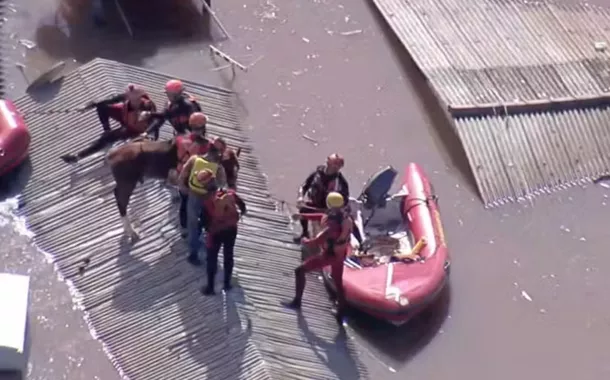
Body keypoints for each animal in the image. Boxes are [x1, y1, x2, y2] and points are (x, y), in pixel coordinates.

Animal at [108, 135, 241, 239]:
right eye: (228, 165)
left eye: (238, 167)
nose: (232, 186)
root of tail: (112, 155)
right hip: (127, 183)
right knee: (120, 200)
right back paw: (131, 231)